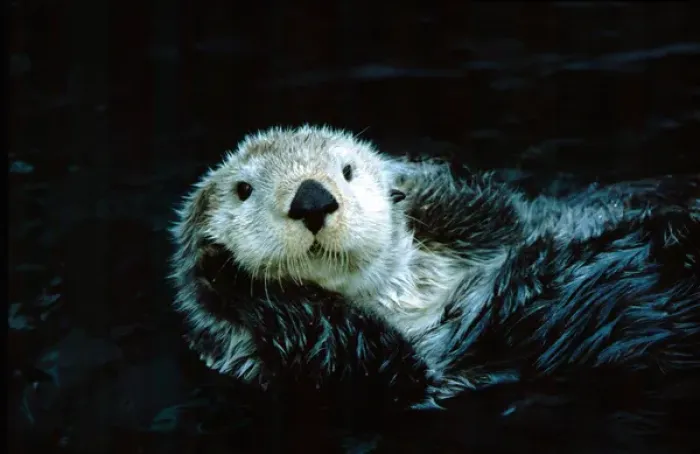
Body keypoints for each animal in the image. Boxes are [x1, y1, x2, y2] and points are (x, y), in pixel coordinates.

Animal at [169, 125, 700, 451]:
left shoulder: (506, 225)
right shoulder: (328, 377)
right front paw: (221, 269)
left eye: (347, 171)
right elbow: (375, 364)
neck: (412, 290)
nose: (312, 199)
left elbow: (497, 208)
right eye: (242, 190)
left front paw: (408, 176)